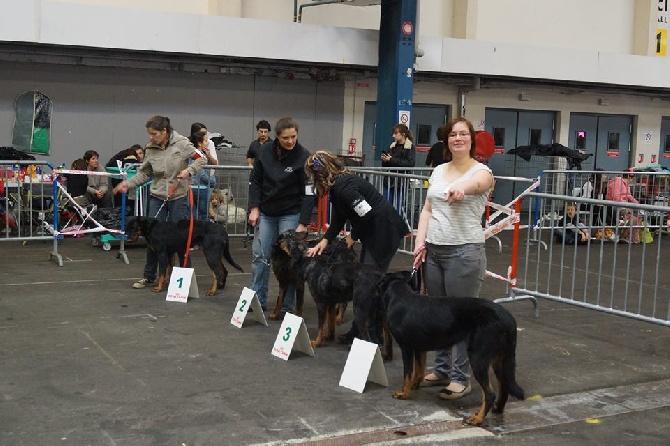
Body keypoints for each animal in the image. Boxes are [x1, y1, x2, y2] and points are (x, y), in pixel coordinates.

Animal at [380, 270, 528, 426]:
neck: (399, 294)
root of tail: (508, 318)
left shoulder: (406, 347)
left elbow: (407, 374)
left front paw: (403, 393)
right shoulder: (419, 349)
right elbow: (419, 371)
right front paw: (415, 385)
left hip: (478, 357)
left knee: (489, 393)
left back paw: (477, 418)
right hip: (499, 359)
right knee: (504, 386)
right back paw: (497, 409)